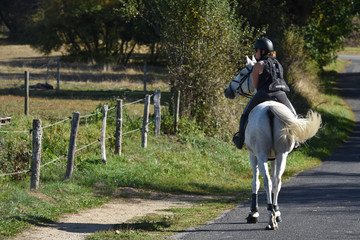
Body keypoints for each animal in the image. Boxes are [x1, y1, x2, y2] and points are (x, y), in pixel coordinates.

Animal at [225, 55, 320, 230]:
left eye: (242, 73)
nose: (227, 90)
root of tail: (270, 109)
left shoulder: (253, 155)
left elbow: (255, 183)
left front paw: (253, 213)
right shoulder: (275, 157)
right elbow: (276, 180)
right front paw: (278, 212)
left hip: (261, 154)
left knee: (267, 181)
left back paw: (270, 218)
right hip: (282, 155)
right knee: (277, 180)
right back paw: (274, 214)